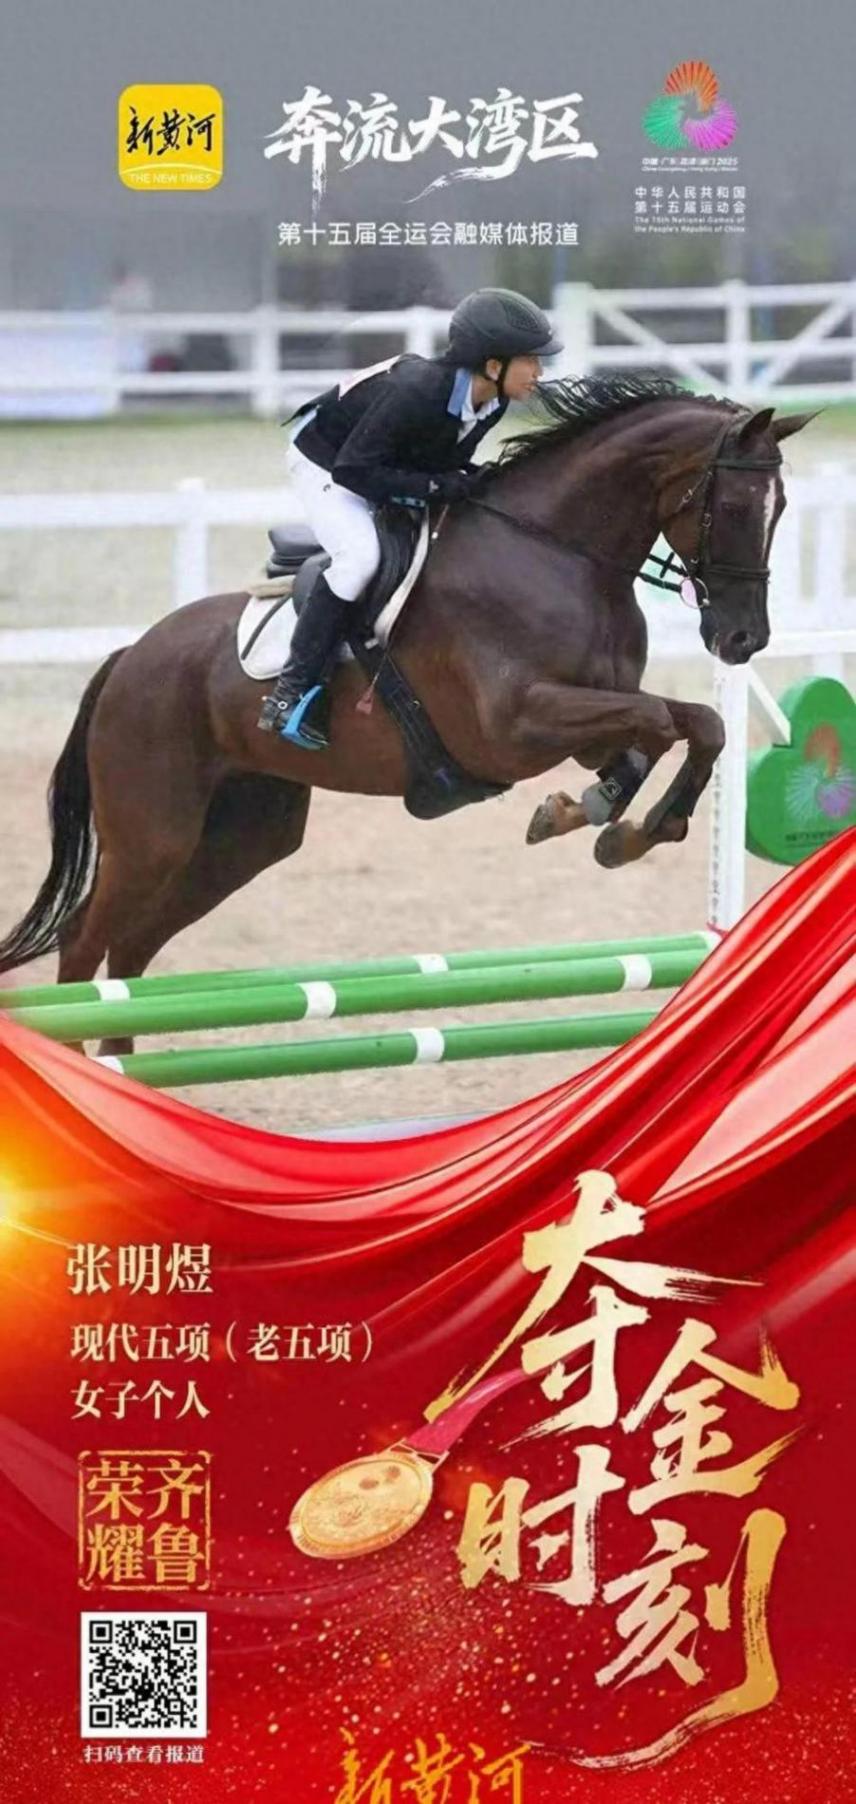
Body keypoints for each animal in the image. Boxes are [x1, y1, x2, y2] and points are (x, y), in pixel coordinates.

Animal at [0, 375, 813, 1052]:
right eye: (733, 506)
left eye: (782, 510)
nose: (743, 640)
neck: (557, 555)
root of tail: (129, 656)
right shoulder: (516, 727)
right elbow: (663, 724)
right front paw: (606, 819)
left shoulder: (588, 717)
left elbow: (688, 726)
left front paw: (609, 821)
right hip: (154, 834)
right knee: (85, 947)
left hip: (242, 837)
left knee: (132, 952)